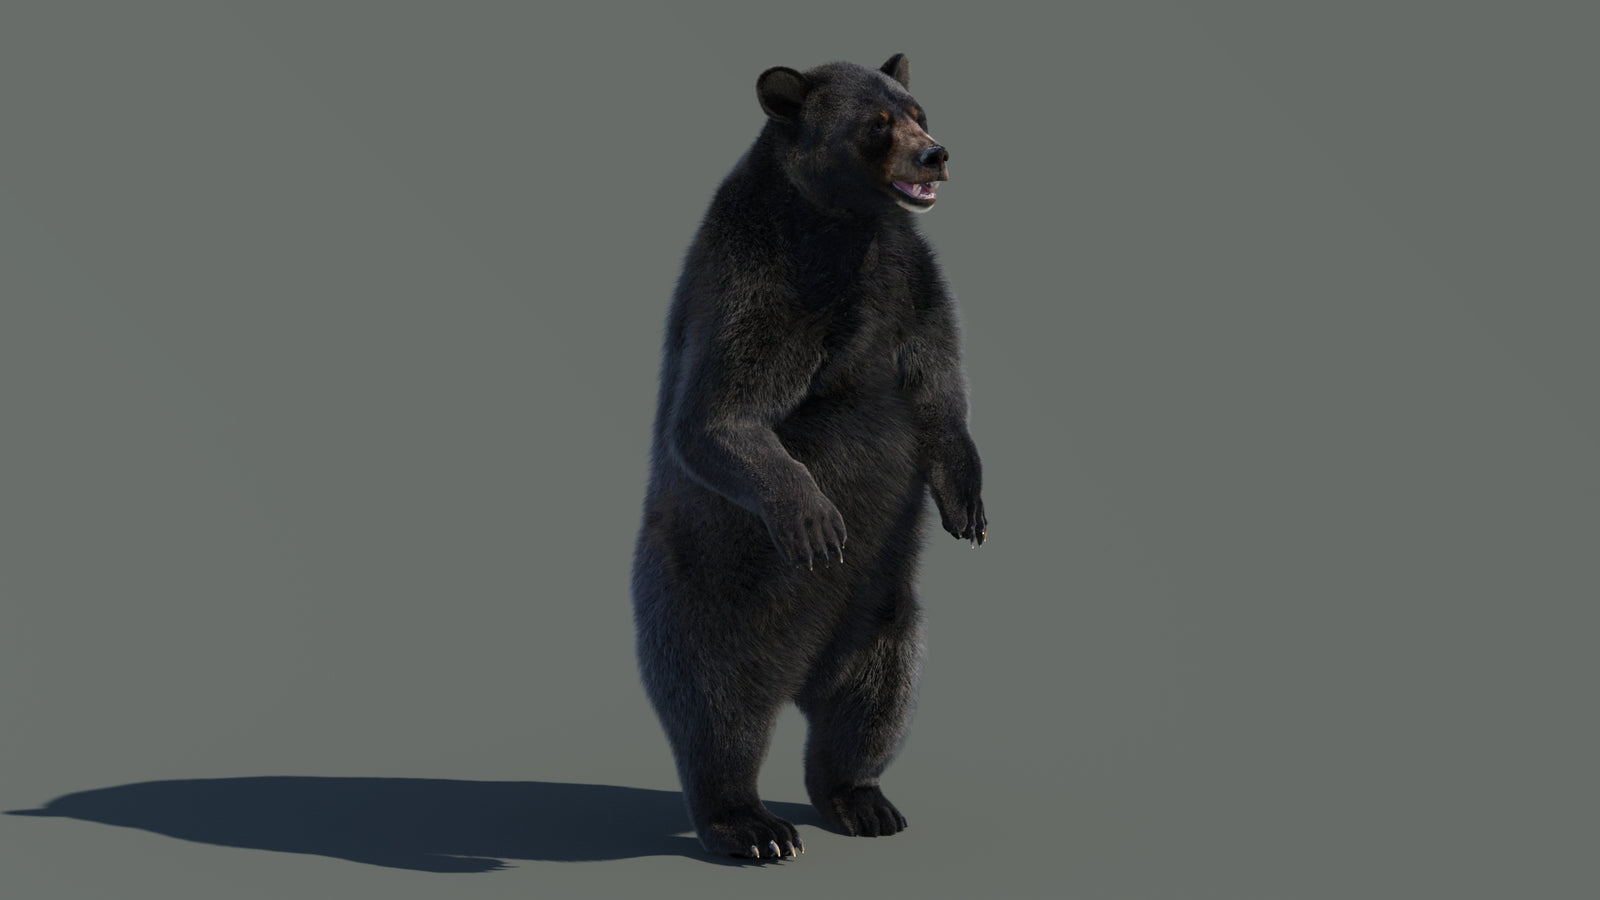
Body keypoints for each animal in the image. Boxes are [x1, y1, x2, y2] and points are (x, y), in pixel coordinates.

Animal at [631, 53, 986, 861]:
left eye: (918, 109)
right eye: (877, 123)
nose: (936, 154)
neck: (844, 226)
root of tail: (798, 671)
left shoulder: (909, 278)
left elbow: (939, 386)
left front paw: (969, 506)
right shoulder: (763, 279)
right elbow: (719, 414)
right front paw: (815, 519)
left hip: (883, 613)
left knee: (873, 697)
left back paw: (863, 800)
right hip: (705, 598)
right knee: (718, 709)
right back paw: (752, 825)